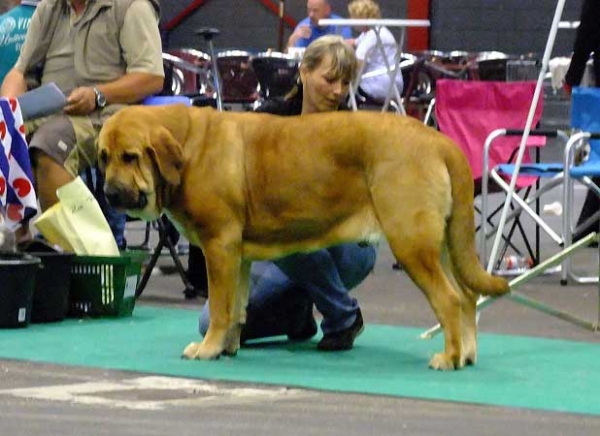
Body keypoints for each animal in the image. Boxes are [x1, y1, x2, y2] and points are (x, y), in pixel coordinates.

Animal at [99, 104, 510, 370]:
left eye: (131, 156)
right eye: (103, 157)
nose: (109, 193)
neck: (187, 147)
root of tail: (441, 142)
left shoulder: (219, 246)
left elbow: (218, 308)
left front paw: (207, 349)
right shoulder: (238, 256)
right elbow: (236, 309)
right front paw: (227, 348)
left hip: (412, 244)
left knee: (450, 299)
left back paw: (449, 358)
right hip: (444, 244)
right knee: (468, 295)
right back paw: (468, 354)